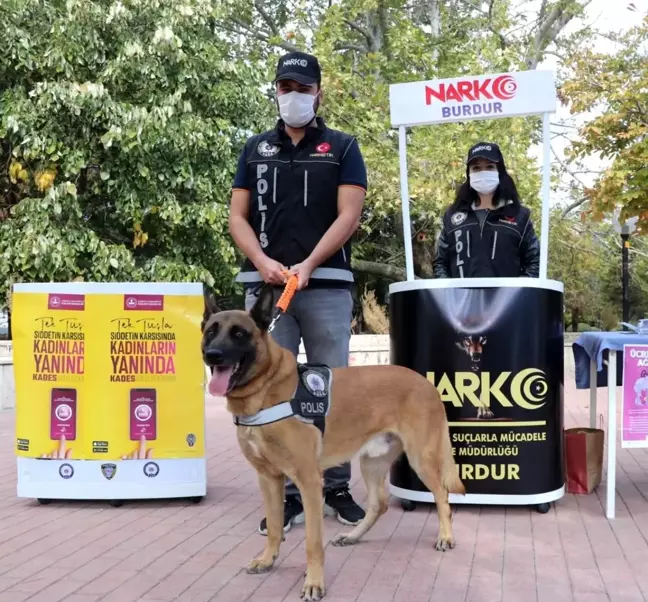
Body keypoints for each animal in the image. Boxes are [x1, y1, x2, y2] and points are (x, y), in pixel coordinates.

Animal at [202, 284, 466, 596]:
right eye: (210, 332)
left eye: (239, 334)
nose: (213, 355)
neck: (265, 389)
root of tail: (425, 382)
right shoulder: (269, 479)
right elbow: (276, 527)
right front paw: (268, 559)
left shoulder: (309, 481)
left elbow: (312, 542)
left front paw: (314, 582)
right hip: (371, 463)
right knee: (379, 504)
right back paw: (353, 536)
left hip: (420, 458)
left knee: (442, 495)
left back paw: (445, 536)